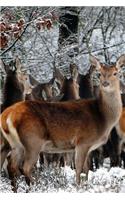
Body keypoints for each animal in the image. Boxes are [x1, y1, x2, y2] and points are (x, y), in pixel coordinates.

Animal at [0, 54, 124, 187]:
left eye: (115, 73)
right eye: (99, 73)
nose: (105, 83)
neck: (103, 118)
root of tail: (8, 114)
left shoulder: (87, 147)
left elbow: (86, 170)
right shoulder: (83, 141)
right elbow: (79, 169)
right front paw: (78, 186)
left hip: (16, 144)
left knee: (12, 166)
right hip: (32, 140)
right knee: (25, 167)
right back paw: (36, 185)